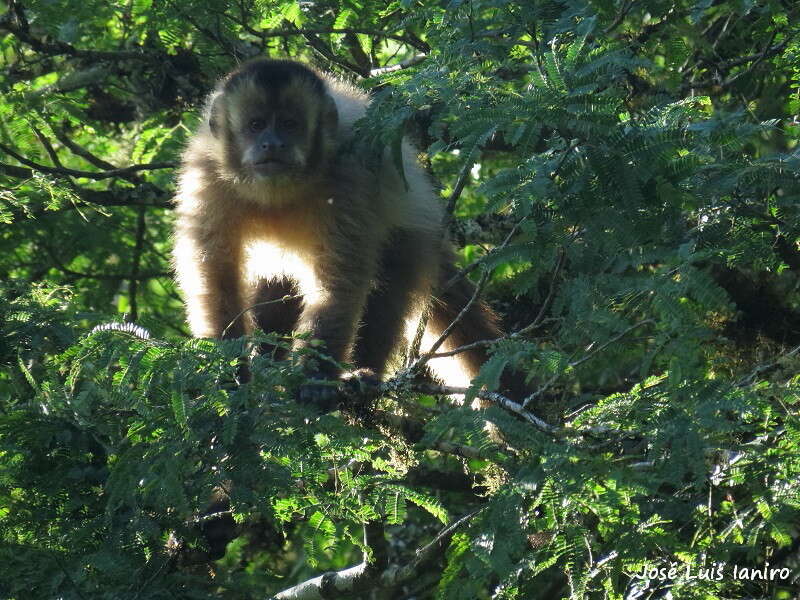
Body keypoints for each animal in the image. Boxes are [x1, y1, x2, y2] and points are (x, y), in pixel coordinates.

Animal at [173, 58, 516, 408]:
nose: (273, 143)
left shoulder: (349, 172)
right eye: (256, 125)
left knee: (388, 282)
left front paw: (316, 379)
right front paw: (230, 377)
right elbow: (216, 278)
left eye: (290, 124)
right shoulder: (205, 177)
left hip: (415, 235)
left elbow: (339, 281)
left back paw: (365, 373)